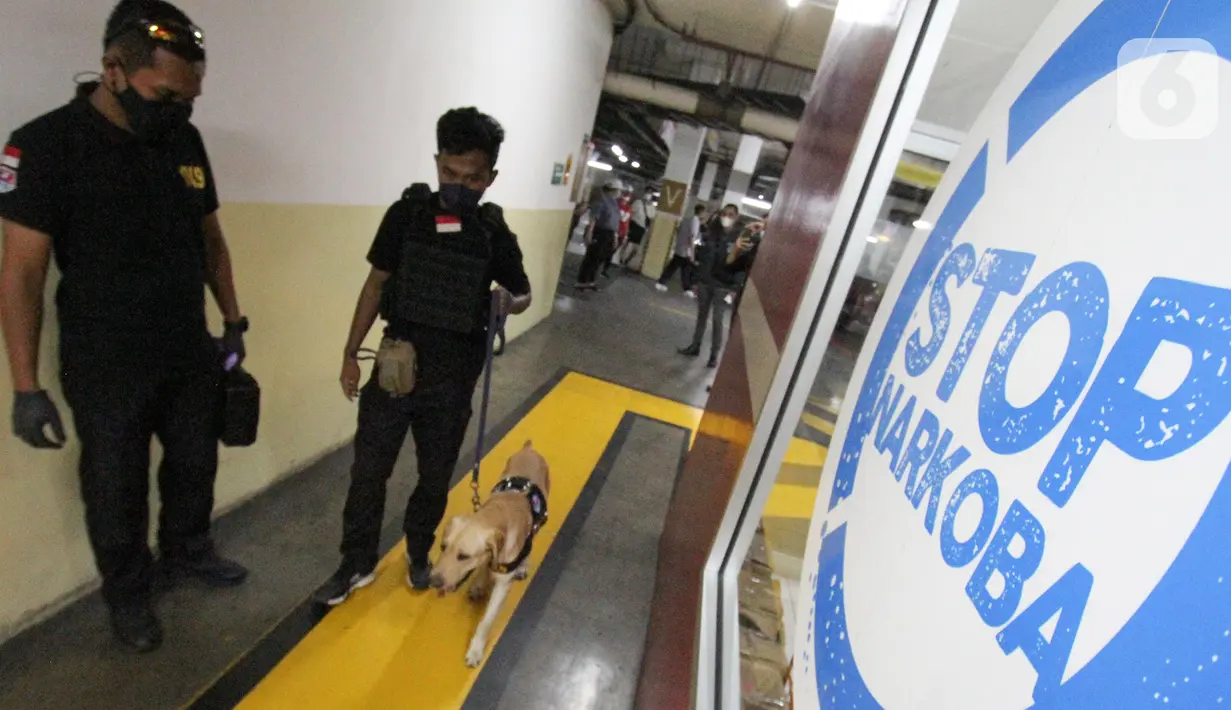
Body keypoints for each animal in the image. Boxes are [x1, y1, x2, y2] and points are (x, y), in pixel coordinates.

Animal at [430, 440, 551, 669]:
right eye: (443, 547)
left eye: (463, 556)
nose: (433, 581)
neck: (496, 515)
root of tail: (529, 448)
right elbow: (484, 568)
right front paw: (479, 583)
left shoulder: (503, 584)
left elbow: (486, 622)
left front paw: (475, 650)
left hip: (539, 521)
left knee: (529, 545)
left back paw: (523, 566)